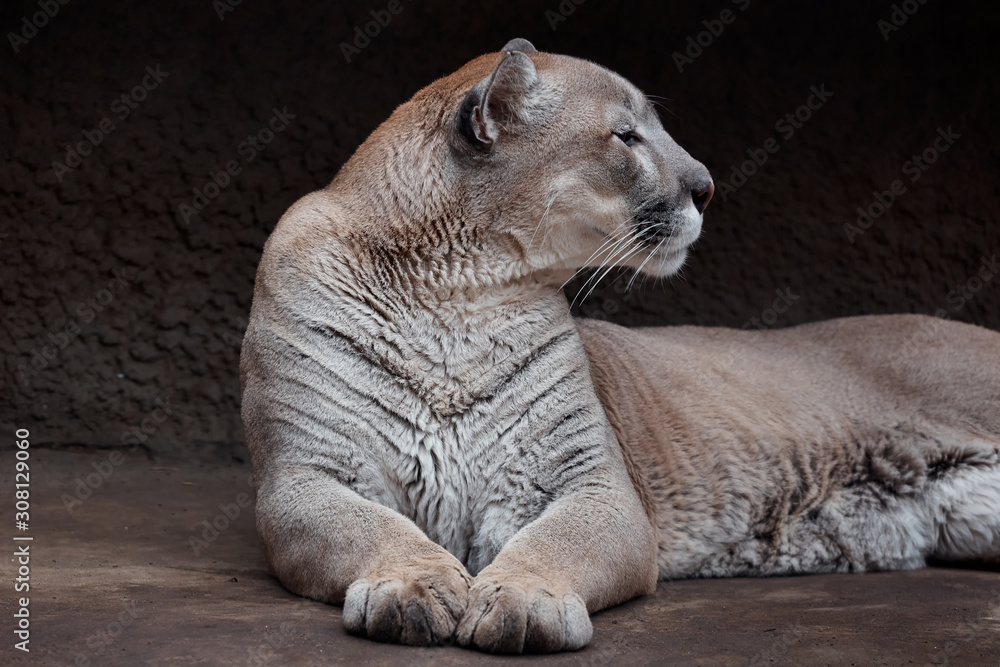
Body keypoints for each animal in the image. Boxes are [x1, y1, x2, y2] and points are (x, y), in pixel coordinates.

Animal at [240, 38, 1000, 653]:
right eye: (626, 136)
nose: (707, 187)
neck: (458, 296)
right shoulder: (304, 474)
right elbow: (371, 528)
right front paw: (416, 586)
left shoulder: (595, 482)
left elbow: (555, 542)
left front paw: (525, 599)